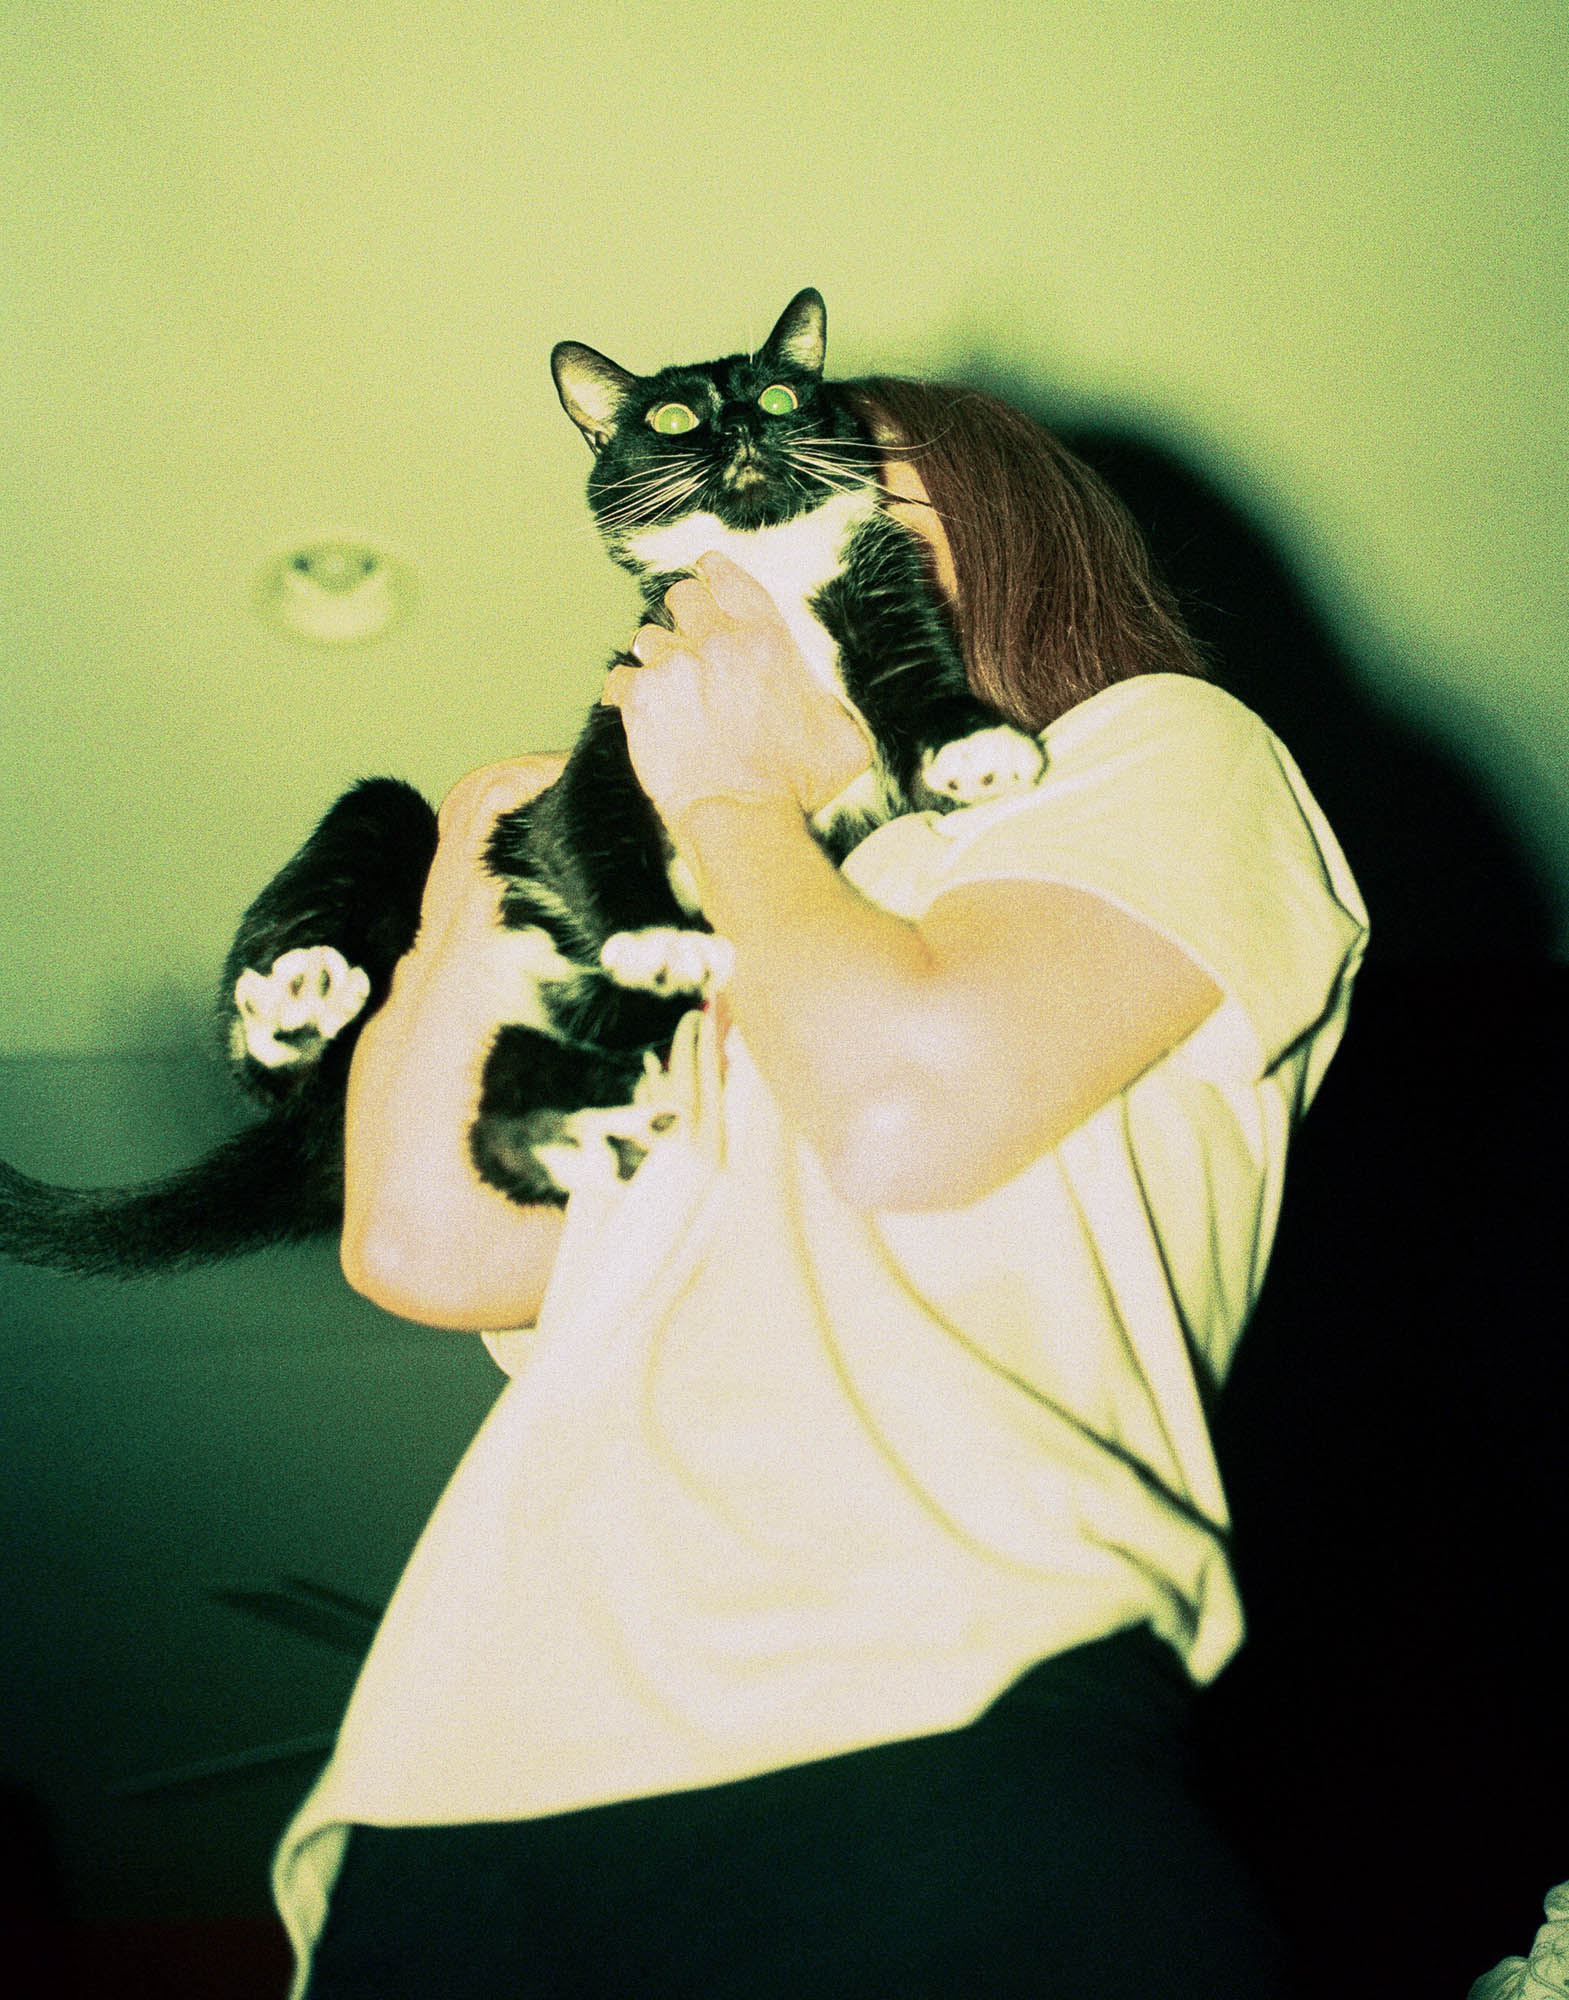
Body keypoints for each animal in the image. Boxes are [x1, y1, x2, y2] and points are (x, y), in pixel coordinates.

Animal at [0, 289, 1045, 1277]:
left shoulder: (885, 605)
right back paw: (295, 1007)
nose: (745, 426)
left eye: (784, 396)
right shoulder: (624, 721)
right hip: (383, 839)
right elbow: (589, 825)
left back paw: (575, 1140)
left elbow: (919, 687)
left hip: (605, 1034)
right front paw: (654, 933)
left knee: (499, 1121)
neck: (768, 573)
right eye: (674, 418)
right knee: (284, 1032)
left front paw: (976, 751)